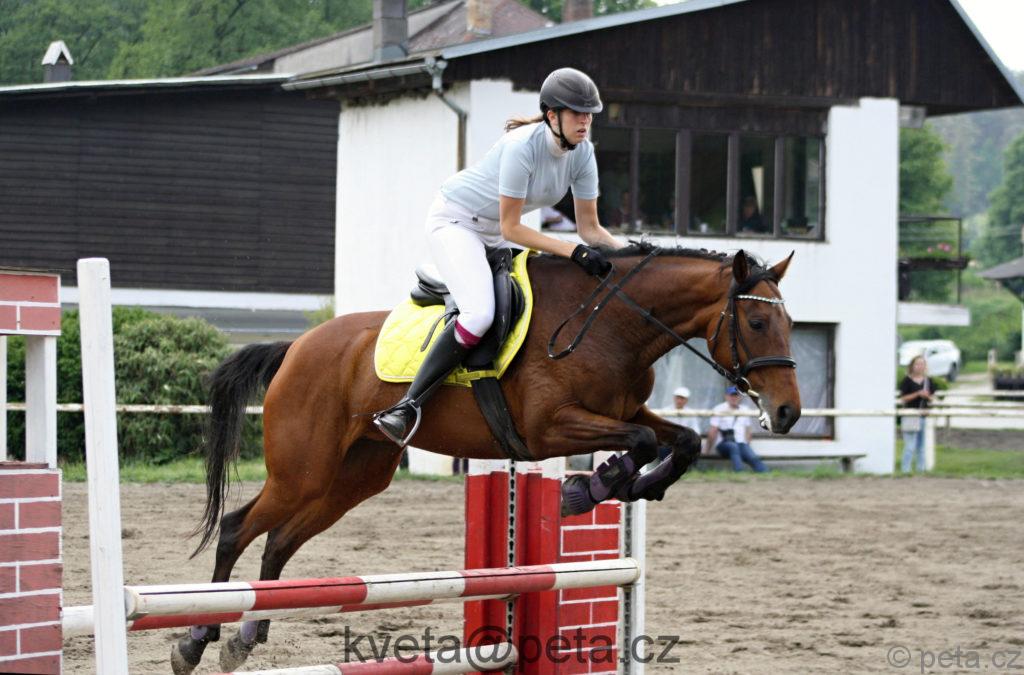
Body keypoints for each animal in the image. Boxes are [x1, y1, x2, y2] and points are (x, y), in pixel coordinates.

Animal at [171, 242, 801, 674]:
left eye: (792, 323)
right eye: (756, 321)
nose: (788, 413)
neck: (611, 326)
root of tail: (297, 347)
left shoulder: (624, 412)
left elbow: (681, 441)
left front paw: (634, 486)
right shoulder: (549, 429)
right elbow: (643, 442)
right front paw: (590, 488)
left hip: (352, 479)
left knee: (279, 540)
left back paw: (246, 636)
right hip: (303, 472)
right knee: (237, 528)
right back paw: (196, 641)